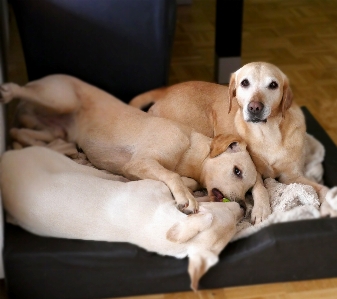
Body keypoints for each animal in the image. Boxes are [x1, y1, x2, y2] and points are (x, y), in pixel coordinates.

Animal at [0, 146, 244, 292]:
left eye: (234, 226)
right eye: (228, 214)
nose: (241, 208)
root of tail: (6, 158)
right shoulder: (154, 186)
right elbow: (179, 183)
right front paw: (190, 188)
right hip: (58, 161)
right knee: (96, 171)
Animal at [129, 61, 330, 220]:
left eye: (273, 85)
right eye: (244, 83)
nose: (254, 107)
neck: (269, 133)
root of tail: (166, 91)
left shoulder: (293, 177)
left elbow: (322, 189)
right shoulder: (255, 171)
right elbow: (261, 189)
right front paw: (262, 210)